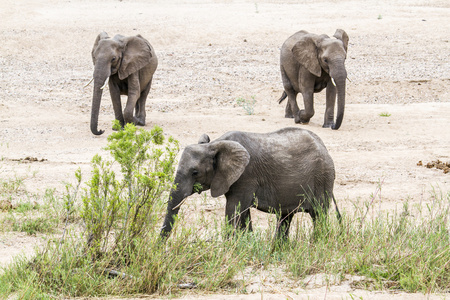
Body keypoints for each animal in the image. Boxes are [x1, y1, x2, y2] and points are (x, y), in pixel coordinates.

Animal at [160, 127, 340, 240]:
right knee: (285, 218)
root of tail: (324, 147)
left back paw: (316, 243)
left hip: (323, 179)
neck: (214, 145)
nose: (160, 248)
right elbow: (243, 213)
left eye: (195, 172)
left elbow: (234, 210)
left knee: (318, 215)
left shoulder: (246, 176)